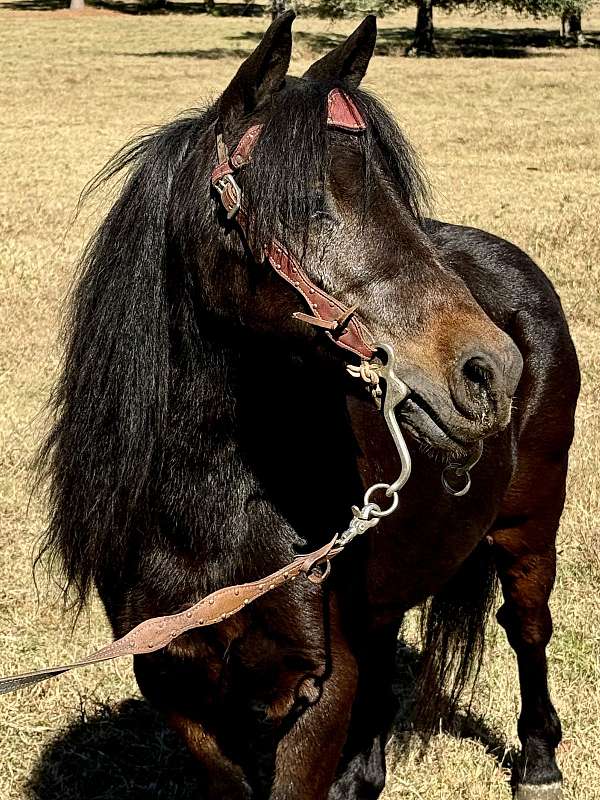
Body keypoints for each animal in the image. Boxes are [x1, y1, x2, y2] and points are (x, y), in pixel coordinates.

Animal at [39, 12, 580, 800]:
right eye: (305, 203)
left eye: (397, 198)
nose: (489, 370)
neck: (209, 514)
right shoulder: (181, 691)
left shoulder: (316, 697)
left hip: (529, 528)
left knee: (527, 626)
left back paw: (538, 761)